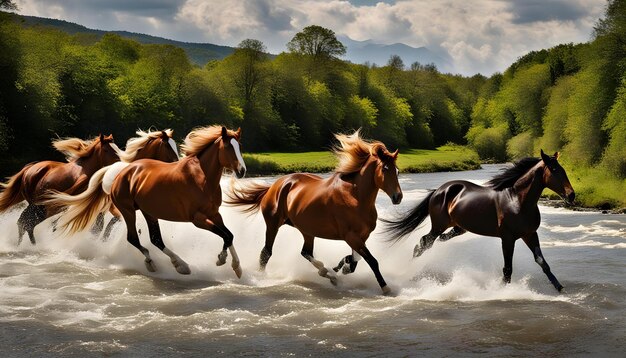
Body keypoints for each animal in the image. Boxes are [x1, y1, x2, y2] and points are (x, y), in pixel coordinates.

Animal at [45, 127, 246, 278]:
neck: (202, 177)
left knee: (155, 239)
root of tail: (120, 173)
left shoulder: (214, 214)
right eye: (229, 147)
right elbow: (225, 235)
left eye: (239, 146)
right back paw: (162, 263)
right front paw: (222, 259)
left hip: (148, 211)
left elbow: (229, 235)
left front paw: (235, 266)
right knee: (133, 238)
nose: (242, 171)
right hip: (127, 210)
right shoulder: (197, 219)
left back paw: (178, 264)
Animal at [227, 130, 402, 296]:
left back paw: (328, 273)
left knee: (305, 252)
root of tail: (274, 186)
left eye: (397, 171)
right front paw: (385, 288)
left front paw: (341, 267)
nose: (397, 197)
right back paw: (261, 278)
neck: (355, 197)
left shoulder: (362, 237)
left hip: (307, 230)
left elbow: (354, 261)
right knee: (266, 253)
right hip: (273, 225)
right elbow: (371, 261)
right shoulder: (351, 237)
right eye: (385, 169)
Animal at [380, 150, 572, 292]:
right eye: (554, 170)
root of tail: (439, 191)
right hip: (438, 226)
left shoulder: (530, 234)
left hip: (458, 227)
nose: (571, 195)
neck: (518, 201)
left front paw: (559, 287)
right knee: (423, 243)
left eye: (563, 169)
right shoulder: (508, 239)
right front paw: (503, 290)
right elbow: (508, 268)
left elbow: (542, 262)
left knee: (437, 240)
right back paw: (408, 272)